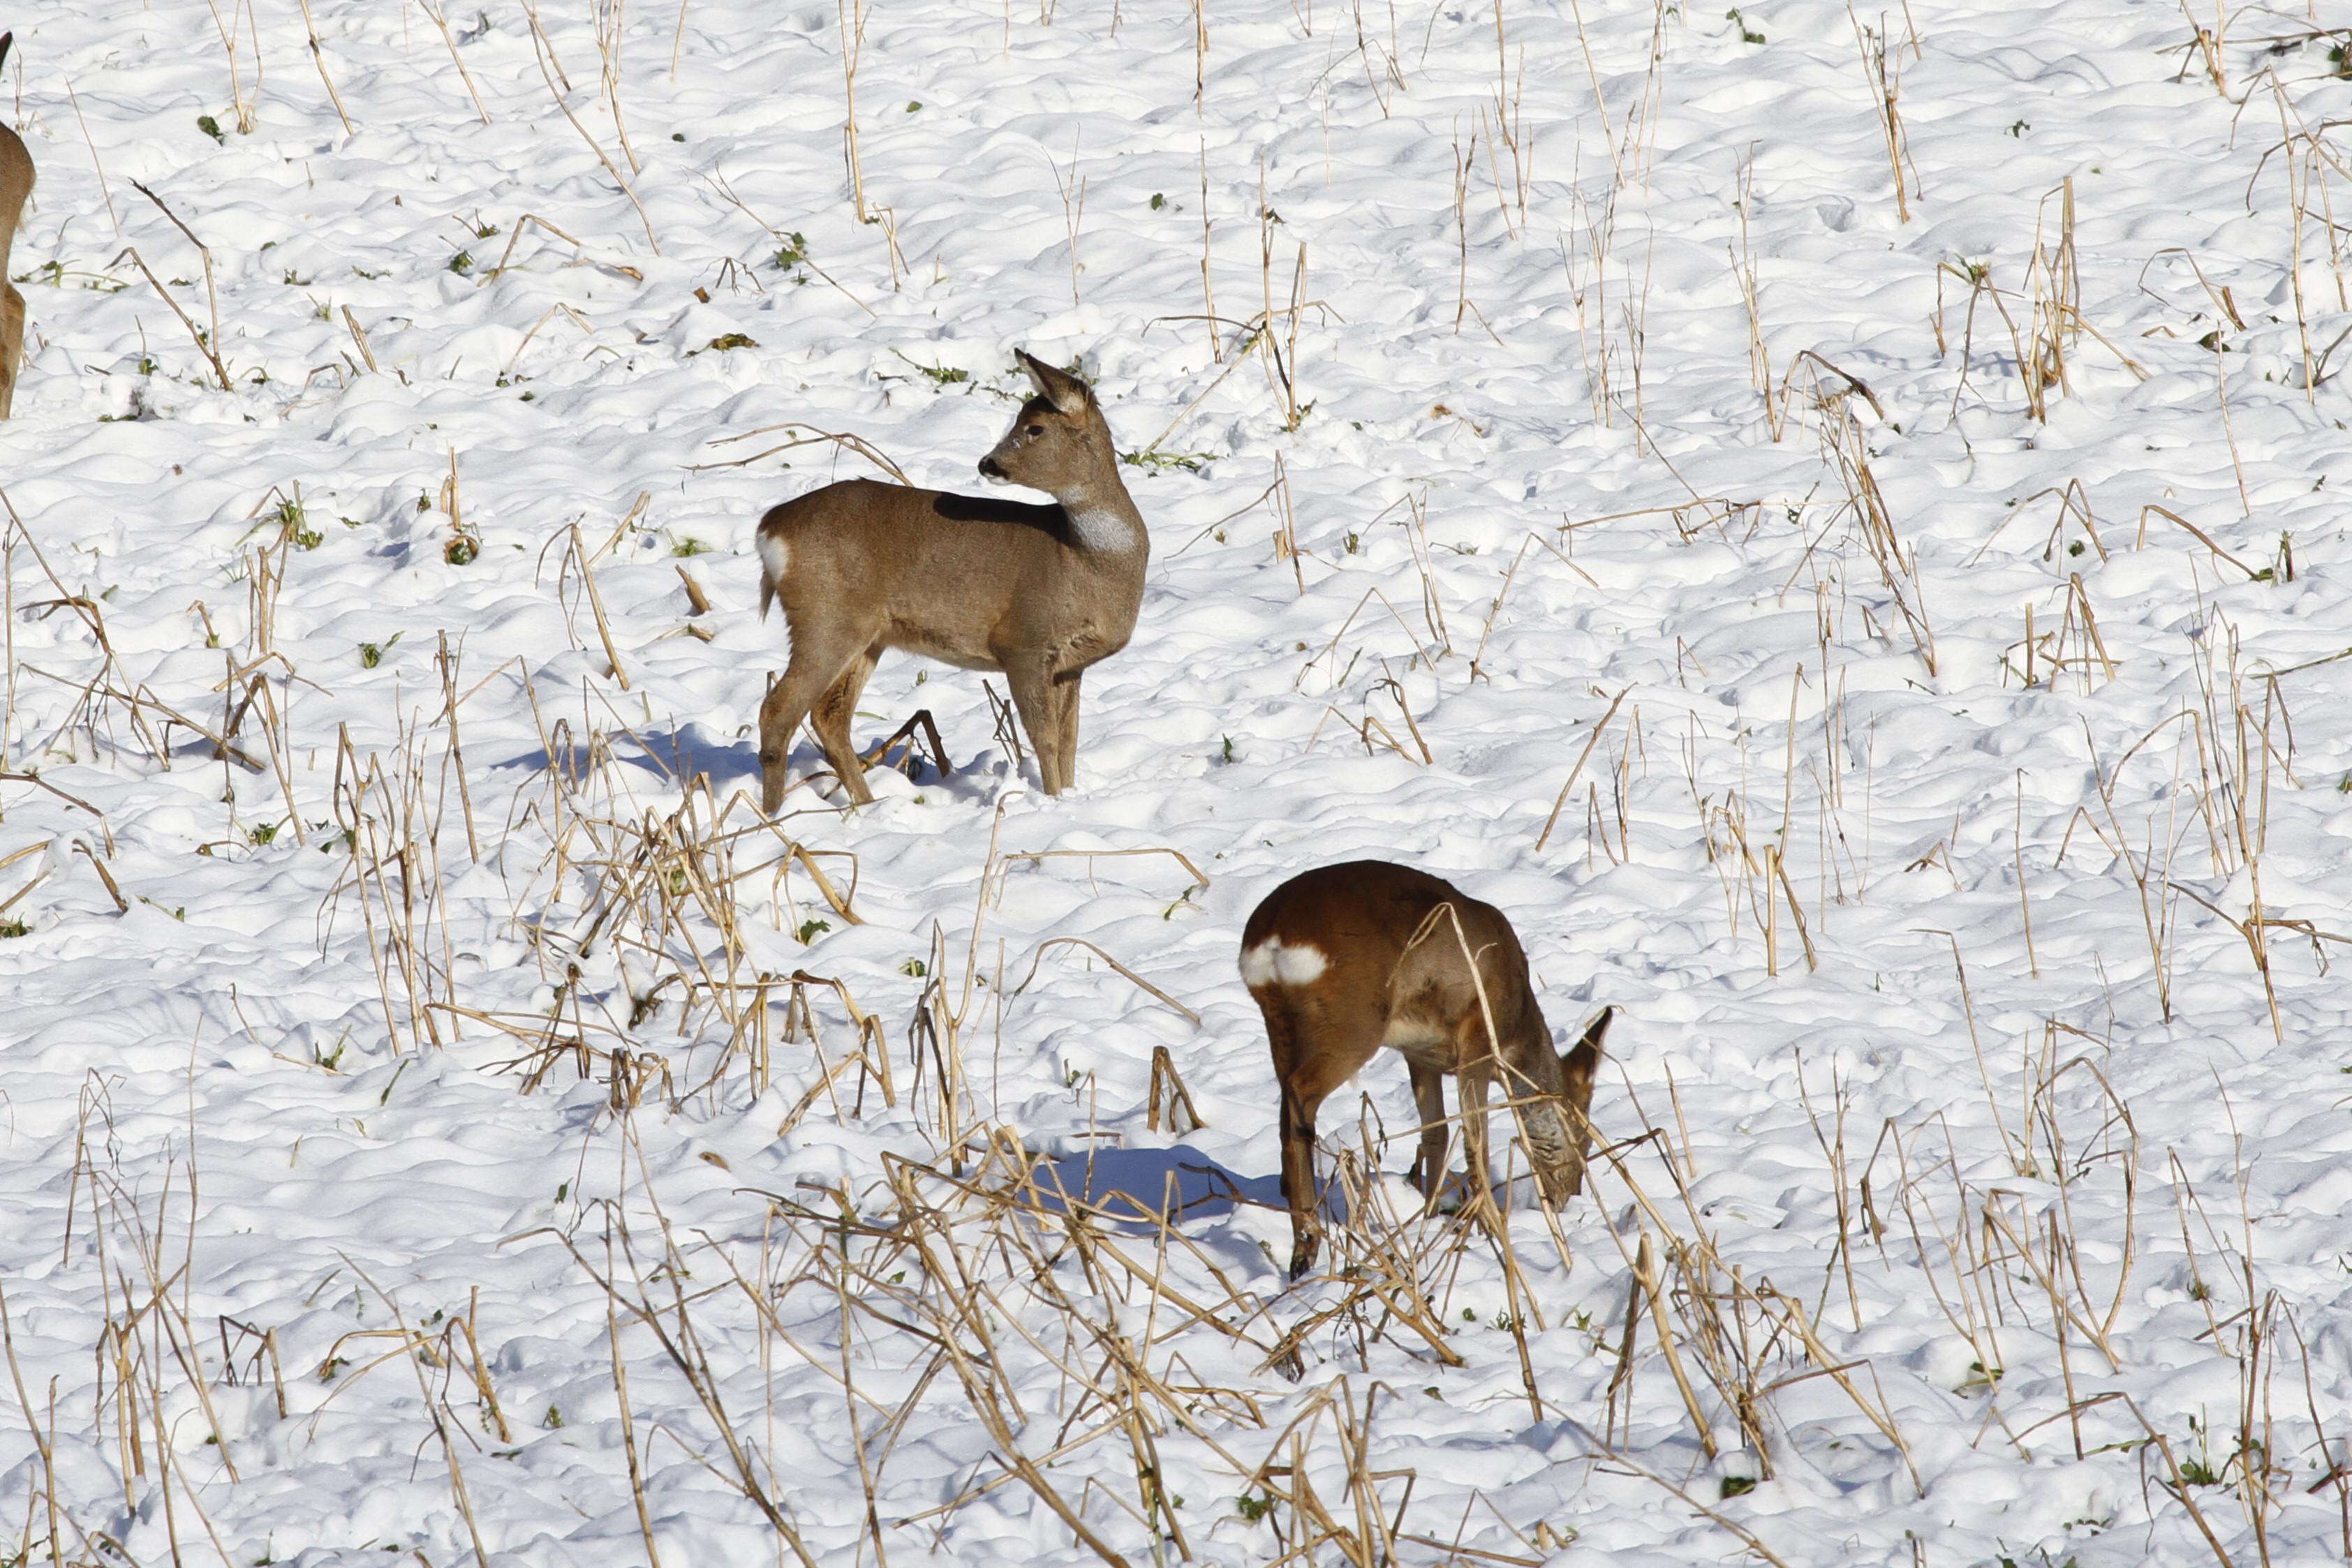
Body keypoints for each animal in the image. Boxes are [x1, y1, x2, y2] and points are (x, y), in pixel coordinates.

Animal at [753, 345, 1148, 808]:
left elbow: (1070, 740)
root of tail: (770, 529)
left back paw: (865, 805)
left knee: (829, 716)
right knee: (778, 710)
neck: (1087, 560)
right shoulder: (1023, 641)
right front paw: (1050, 803)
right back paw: (772, 816)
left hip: (868, 634)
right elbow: (1045, 740)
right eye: (1020, 421)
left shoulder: (1072, 664)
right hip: (825, 615)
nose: (987, 463)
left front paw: (1067, 798)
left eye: (1034, 427)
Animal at [1241, 865, 1608, 1278]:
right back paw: (1307, 1244)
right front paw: (1488, 1226)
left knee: (1285, 1112)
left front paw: (1432, 1217)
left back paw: (1299, 1241)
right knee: (1300, 1094)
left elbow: (1436, 1132)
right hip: (1354, 1022)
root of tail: (1271, 936)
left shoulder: (1418, 1054)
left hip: (1281, 1026)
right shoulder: (1477, 1042)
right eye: (1585, 1135)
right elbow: (1475, 1140)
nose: (1571, 1197)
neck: (1514, 1032)